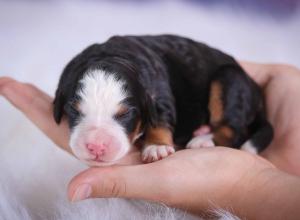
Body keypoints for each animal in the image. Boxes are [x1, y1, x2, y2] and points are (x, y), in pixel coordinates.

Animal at [52, 34, 274, 166]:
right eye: (74, 110)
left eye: (126, 114)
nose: (97, 147)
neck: (112, 55)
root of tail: (255, 90)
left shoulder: (159, 94)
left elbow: (159, 120)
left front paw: (156, 147)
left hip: (229, 80)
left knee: (234, 131)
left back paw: (203, 140)